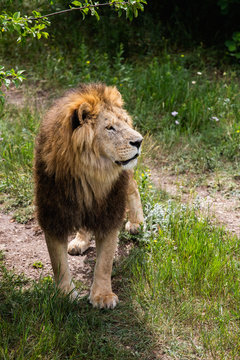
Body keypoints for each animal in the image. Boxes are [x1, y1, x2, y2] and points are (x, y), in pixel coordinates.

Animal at [34, 83, 143, 310]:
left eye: (125, 122)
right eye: (110, 128)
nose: (139, 141)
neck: (90, 174)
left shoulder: (110, 212)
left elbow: (104, 262)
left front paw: (102, 296)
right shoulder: (53, 213)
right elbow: (58, 263)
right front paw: (64, 295)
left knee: (133, 186)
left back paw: (137, 222)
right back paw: (80, 241)